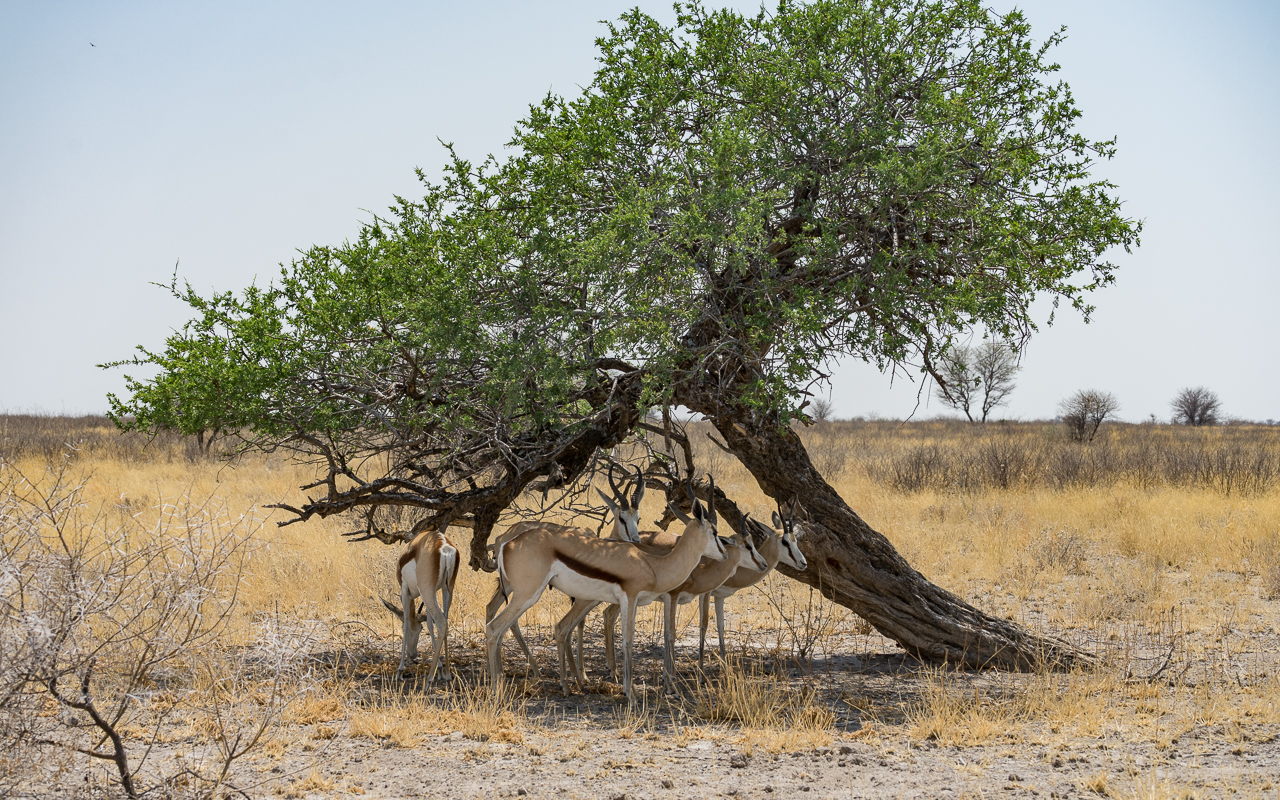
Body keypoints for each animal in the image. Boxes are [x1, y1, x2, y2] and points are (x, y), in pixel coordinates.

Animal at [382, 529, 460, 682]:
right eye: (420, 629)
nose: (412, 655)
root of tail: (444, 546)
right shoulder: (433, 592)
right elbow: (430, 624)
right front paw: (440, 669)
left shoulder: (405, 590)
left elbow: (407, 622)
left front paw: (400, 671)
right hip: (447, 588)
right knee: (445, 621)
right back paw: (447, 674)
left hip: (426, 591)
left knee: (441, 623)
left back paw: (429, 679)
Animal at [486, 484, 726, 702]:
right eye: (714, 532)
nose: (724, 554)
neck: (652, 565)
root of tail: (506, 543)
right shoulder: (629, 597)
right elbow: (628, 640)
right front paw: (631, 694)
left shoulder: (633, 601)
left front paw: (628, 689)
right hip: (527, 595)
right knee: (494, 628)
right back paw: (498, 690)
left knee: (505, 629)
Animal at [698, 501, 807, 668]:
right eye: (785, 541)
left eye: (796, 539)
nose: (803, 563)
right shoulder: (705, 593)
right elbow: (703, 624)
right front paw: (701, 668)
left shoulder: (719, 596)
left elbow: (720, 625)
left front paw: (724, 665)